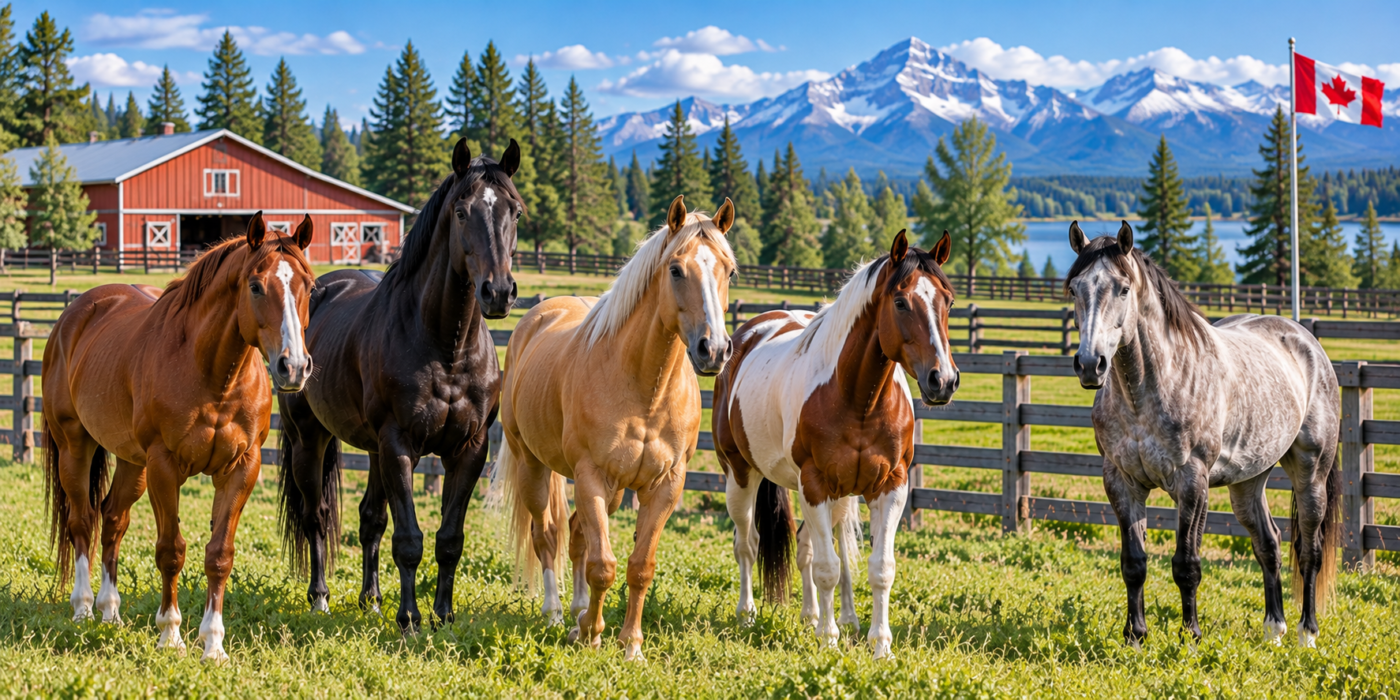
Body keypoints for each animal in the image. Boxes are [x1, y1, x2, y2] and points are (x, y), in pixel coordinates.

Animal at [41, 213, 315, 662]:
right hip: (74, 447)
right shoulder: (164, 466)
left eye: (309, 286)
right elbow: (171, 551)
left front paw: (214, 644)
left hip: (132, 463)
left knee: (112, 519)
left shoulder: (242, 468)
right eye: (256, 286)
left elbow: (219, 555)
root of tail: (76, 313)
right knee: (82, 521)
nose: (293, 367)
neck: (212, 374)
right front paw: (170, 634)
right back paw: (83, 608)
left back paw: (110, 611)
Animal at [277, 139, 520, 632]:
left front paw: (443, 615)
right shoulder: (399, 445)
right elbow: (409, 539)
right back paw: (320, 598)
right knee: (316, 517)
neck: (445, 346)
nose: (499, 292)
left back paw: (370, 600)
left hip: (372, 451)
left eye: (516, 212)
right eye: (462, 212)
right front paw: (409, 619)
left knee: (370, 519)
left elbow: (449, 538)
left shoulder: (468, 450)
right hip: (309, 439)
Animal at [490, 195, 736, 661]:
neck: (643, 388)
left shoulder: (665, 485)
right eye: (675, 269)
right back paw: (556, 614)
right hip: (533, 465)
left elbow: (639, 567)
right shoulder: (591, 475)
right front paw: (593, 634)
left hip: (616, 490)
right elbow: (603, 565)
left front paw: (629, 644)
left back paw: (577, 613)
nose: (713, 349)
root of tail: (536, 317)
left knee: (576, 536)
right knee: (547, 535)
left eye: (729, 270)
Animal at [712, 229, 958, 659]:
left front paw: (879, 645)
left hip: (837, 494)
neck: (857, 397)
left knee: (813, 547)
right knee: (748, 544)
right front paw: (828, 641)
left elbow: (877, 568)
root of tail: (744, 335)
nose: (942, 380)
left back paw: (822, 617)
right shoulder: (815, 485)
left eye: (948, 300)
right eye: (900, 301)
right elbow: (827, 567)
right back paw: (749, 615)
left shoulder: (889, 486)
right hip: (741, 475)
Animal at [1065, 220, 1341, 648]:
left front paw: (1190, 636)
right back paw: (1273, 630)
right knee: (1269, 544)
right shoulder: (1121, 481)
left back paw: (1306, 634)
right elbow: (1133, 563)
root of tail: (1307, 342)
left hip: (1311, 473)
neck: (1149, 390)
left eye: (1123, 289)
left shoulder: (1192, 483)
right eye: (1075, 288)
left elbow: (1186, 564)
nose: (1090, 364)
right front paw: (1135, 637)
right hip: (1248, 481)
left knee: (1309, 550)